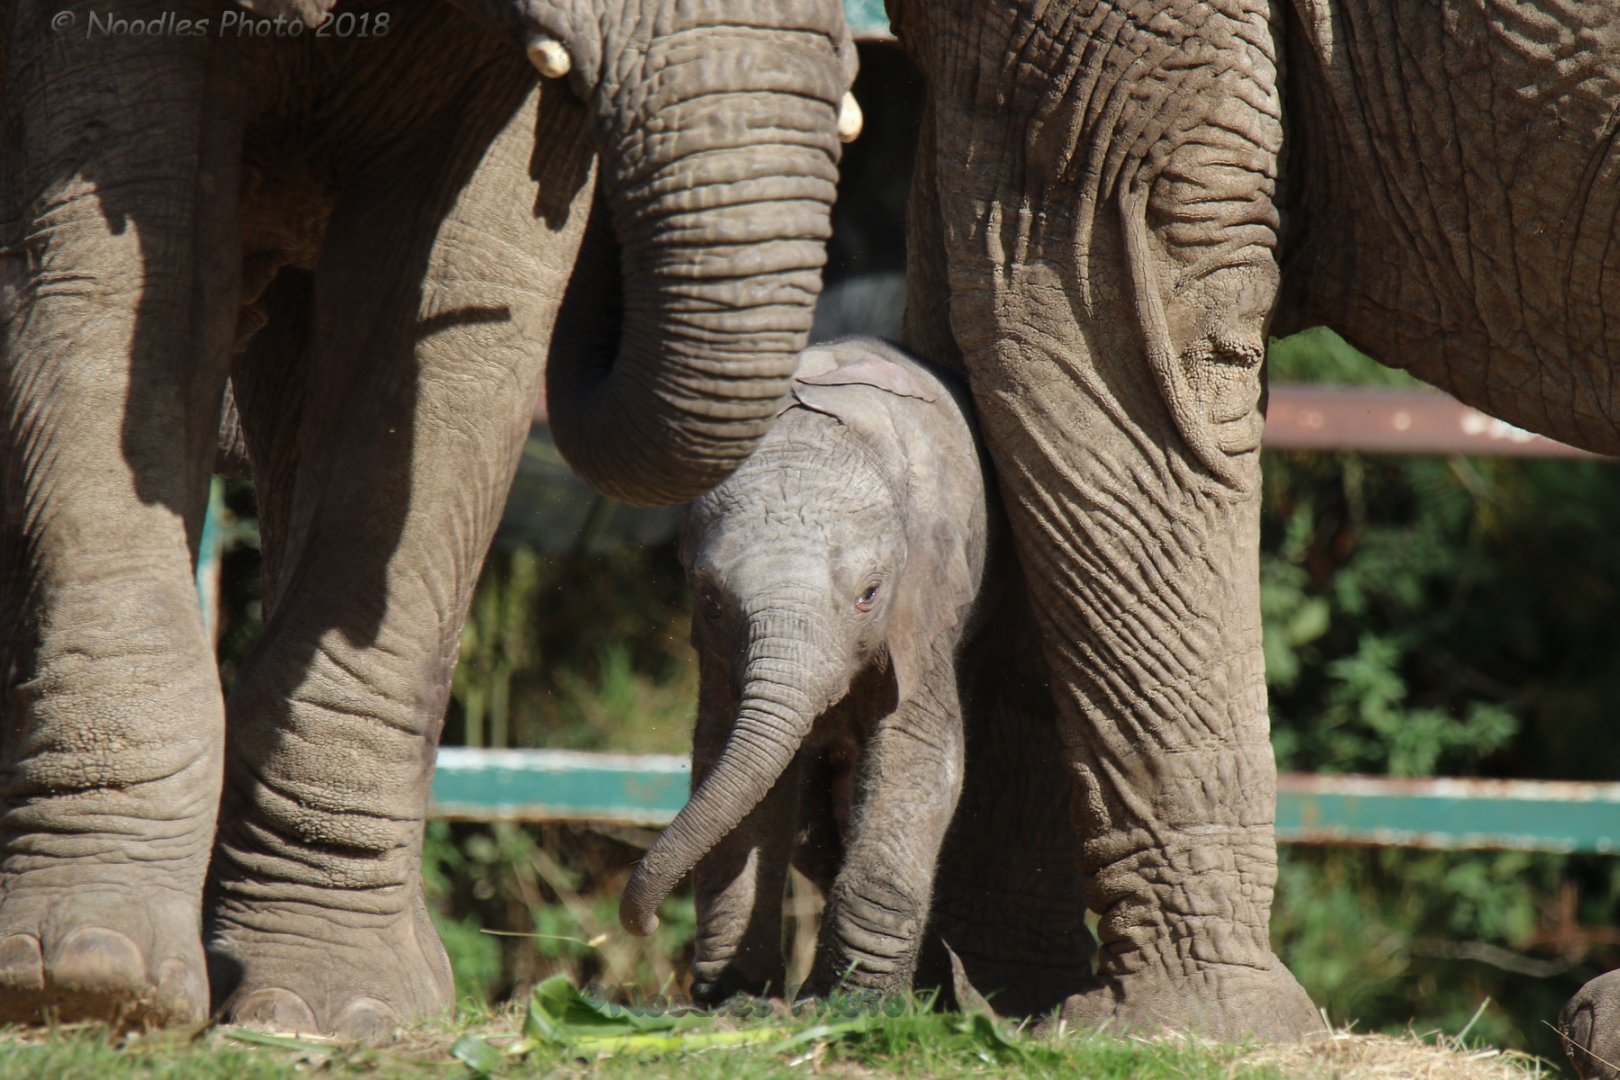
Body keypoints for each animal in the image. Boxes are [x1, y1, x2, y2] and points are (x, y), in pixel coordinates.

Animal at [616, 336, 990, 1001]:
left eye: (870, 594)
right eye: (710, 600)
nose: (647, 923)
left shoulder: (924, 602)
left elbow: (920, 753)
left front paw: (854, 1004)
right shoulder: (719, 653)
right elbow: (726, 759)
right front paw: (737, 1001)